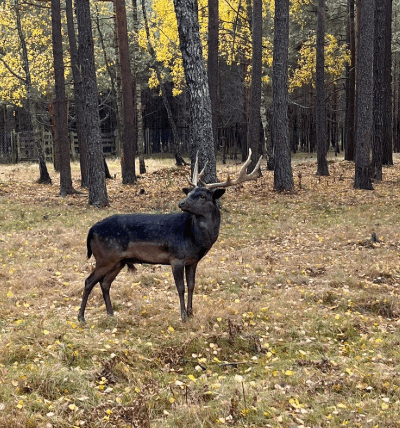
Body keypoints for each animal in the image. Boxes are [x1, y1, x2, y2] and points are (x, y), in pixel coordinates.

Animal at [77, 150, 262, 320]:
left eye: (202, 196)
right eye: (189, 193)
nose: (181, 203)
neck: (195, 239)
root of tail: (90, 230)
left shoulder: (193, 261)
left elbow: (192, 285)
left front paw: (191, 312)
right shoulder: (176, 257)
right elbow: (180, 287)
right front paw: (183, 316)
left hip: (118, 261)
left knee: (105, 283)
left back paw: (110, 313)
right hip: (105, 257)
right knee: (89, 281)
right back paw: (81, 317)